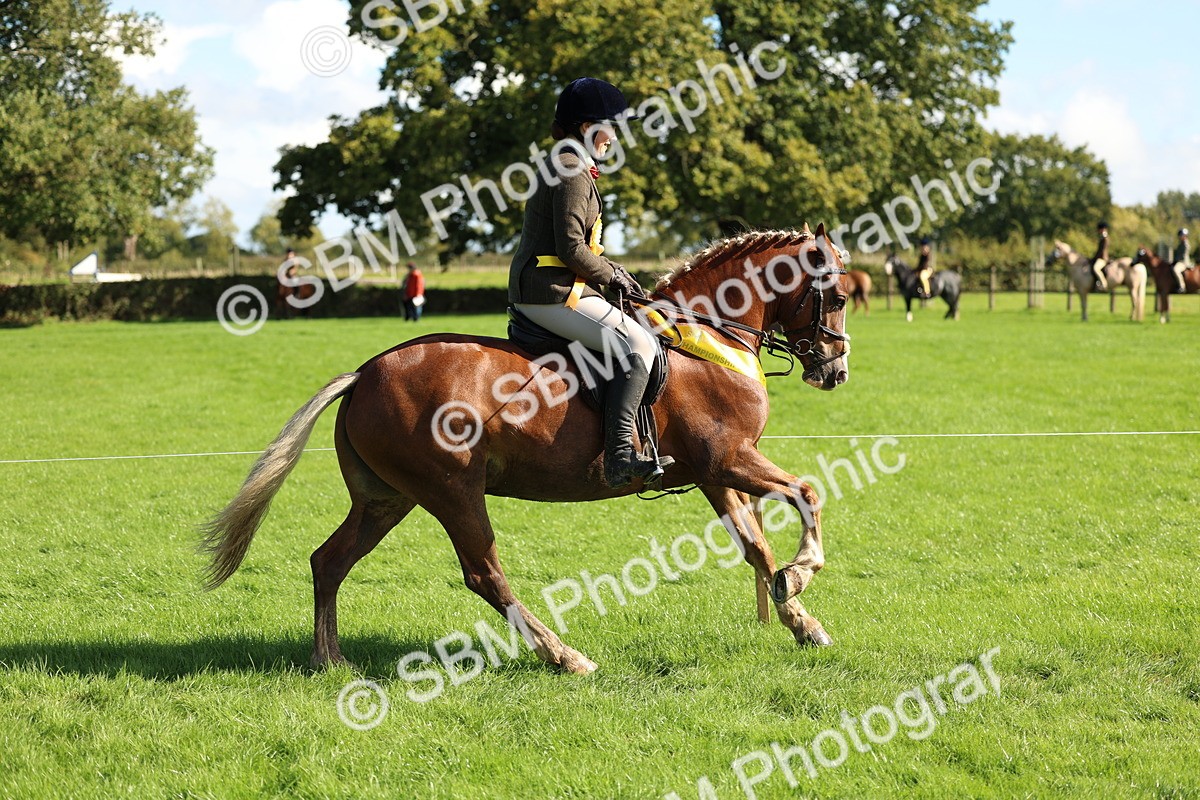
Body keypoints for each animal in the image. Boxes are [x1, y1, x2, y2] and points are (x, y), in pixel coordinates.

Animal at [200, 225, 853, 673]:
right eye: (840, 298)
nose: (836, 372)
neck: (709, 336)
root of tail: (364, 373)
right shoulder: (728, 459)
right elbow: (808, 494)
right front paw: (801, 576)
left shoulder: (717, 472)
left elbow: (757, 547)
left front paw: (801, 620)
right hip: (452, 491)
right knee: (484, 574)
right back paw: (564, 656)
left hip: (385, 500)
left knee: (329, 561)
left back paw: (329, 659)